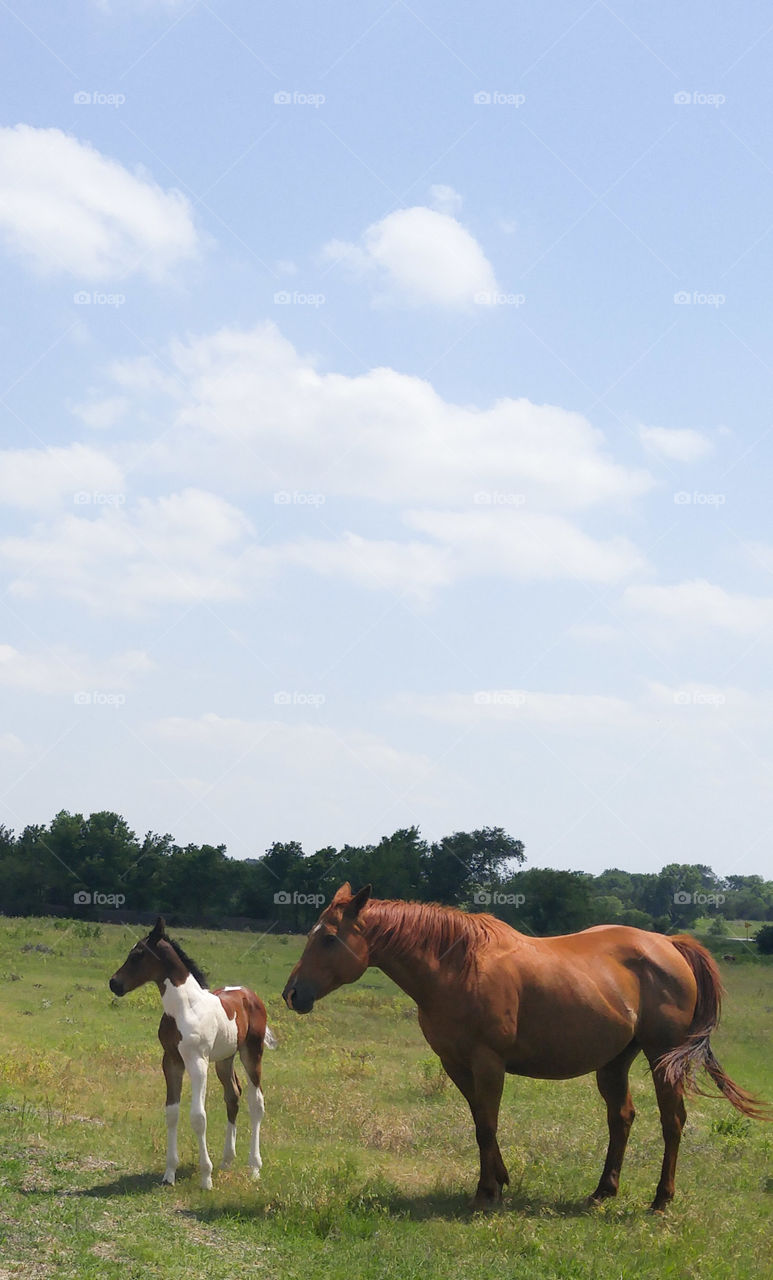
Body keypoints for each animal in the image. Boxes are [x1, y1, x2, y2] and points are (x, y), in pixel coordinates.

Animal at [109, 916, 276, 1189]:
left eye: (137, 955)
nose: (114, 983)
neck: (185, 1008)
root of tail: (249, 994)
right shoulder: (171, 1061)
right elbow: (172, 1112)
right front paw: (169, 1173)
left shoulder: (198, 1062)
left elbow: (198, 1117)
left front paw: (205, 1177)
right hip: (224, 1059)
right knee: (233, 1096)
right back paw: (226, 1160)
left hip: (251, 1053)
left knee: (256, 1102)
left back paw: (254, 1168)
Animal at [281, 884, 769, 1211]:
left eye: (328, 938)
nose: (292, 994)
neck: (458, 965)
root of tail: (668, 944)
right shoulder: (456, 1064)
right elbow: (481, 1123)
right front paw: (499, 1179)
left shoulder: (488, 1063)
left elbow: (487, 1125)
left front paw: (486, 1193)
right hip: (615, 1061)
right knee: (622, 1119)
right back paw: (602, 1191)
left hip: (662, 1057)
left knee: (673, 1121)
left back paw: (661, 1199)